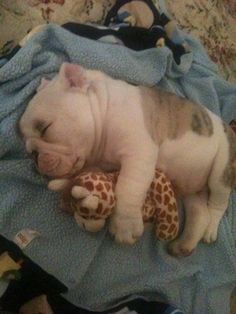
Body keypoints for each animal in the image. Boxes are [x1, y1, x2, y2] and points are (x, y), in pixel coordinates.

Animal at [18, 62, 236, 256]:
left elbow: (128, 187)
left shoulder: (138, 153)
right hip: (191, 190)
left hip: (221, 171)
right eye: (30, 151)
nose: (36, 157)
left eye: (45, 128)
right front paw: (64, 185)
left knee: (218, 204)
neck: (103, 110)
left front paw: (124, 227)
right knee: (199, 213)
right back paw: (184, 245)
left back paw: (211, 229)